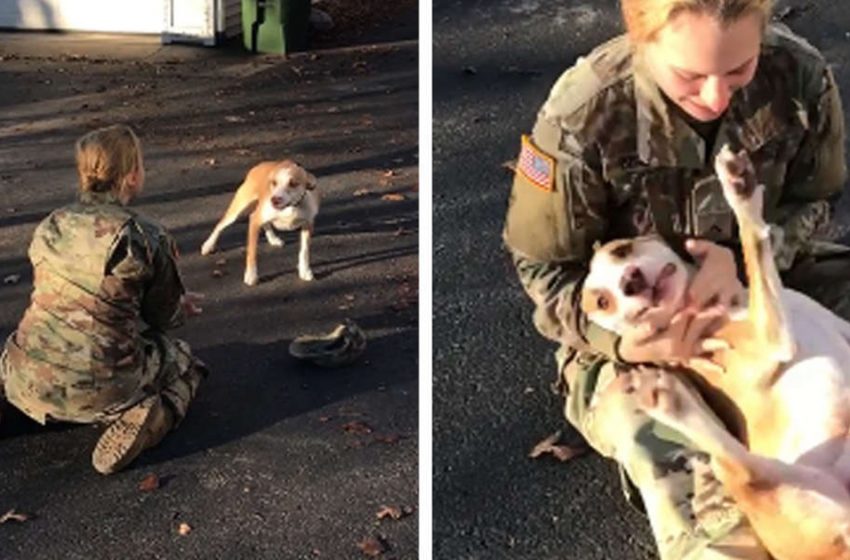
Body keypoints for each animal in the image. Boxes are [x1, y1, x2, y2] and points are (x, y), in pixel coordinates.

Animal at [580, 145, 848, 560]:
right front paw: (740, 192)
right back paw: (668, 400)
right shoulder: (768, 339)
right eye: (603, 302)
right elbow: (755, 245)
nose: (630, 283)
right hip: (783, 487)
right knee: (742, 470)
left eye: (622, 250)